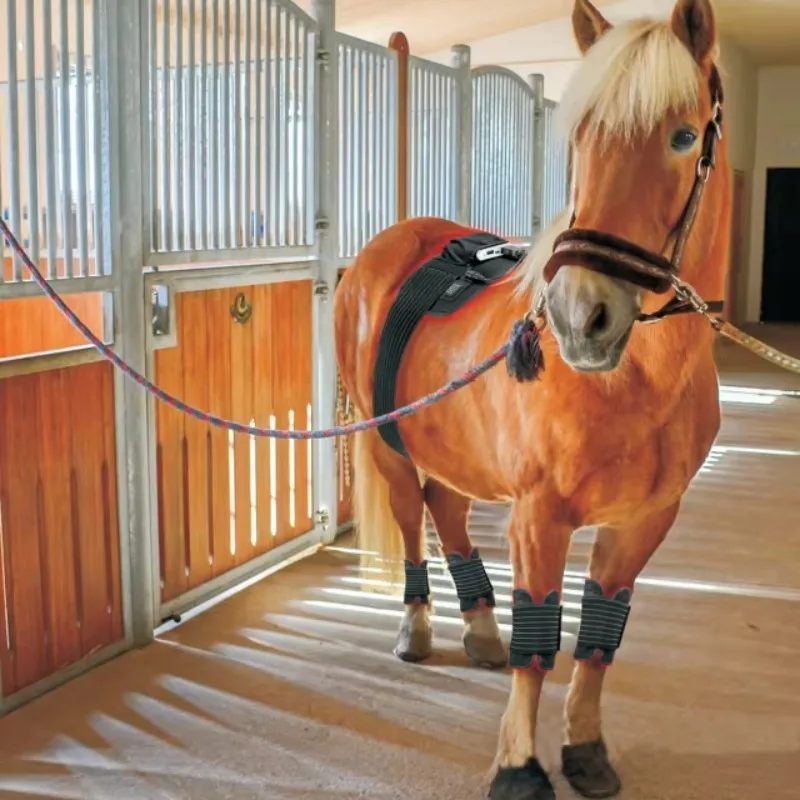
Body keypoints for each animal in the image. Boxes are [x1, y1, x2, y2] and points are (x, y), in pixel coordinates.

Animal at [334, 0, 731, 797]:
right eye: (578, 139)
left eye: (682, 136)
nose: (580, 317)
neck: (636, 383)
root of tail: (384, 247)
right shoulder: (540, 519)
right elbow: (540, 642)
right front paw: (519, 765)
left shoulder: (643, 523)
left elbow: (601, 635)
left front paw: (585, 747)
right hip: (390, 447)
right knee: (414, 522)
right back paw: (418, 628)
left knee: (449, 514)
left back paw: (480, 629)